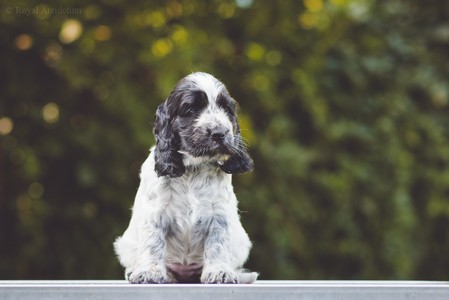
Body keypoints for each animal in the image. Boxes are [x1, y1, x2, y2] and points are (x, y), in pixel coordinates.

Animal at [114, 71, 258, 284]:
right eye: (191, 108)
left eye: (226, 108)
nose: (219, 133)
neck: (193, 169)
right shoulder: (155, 213)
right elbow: (153, 242)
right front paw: (149, 272)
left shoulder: (218, 214)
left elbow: (217, 244)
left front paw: (219, 272)